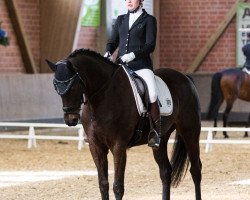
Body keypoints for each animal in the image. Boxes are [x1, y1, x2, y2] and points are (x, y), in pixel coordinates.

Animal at [46, 48, 201, 200]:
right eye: (55, 87)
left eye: (73, 86)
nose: (70, 119)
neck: (101, 98)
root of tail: (185, 77)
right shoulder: (95, 146)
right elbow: (103, 184)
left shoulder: (118, 146)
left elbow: (118, 186)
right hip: (161, 140)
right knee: (165, 171)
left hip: (190, 132)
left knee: (196, 170)